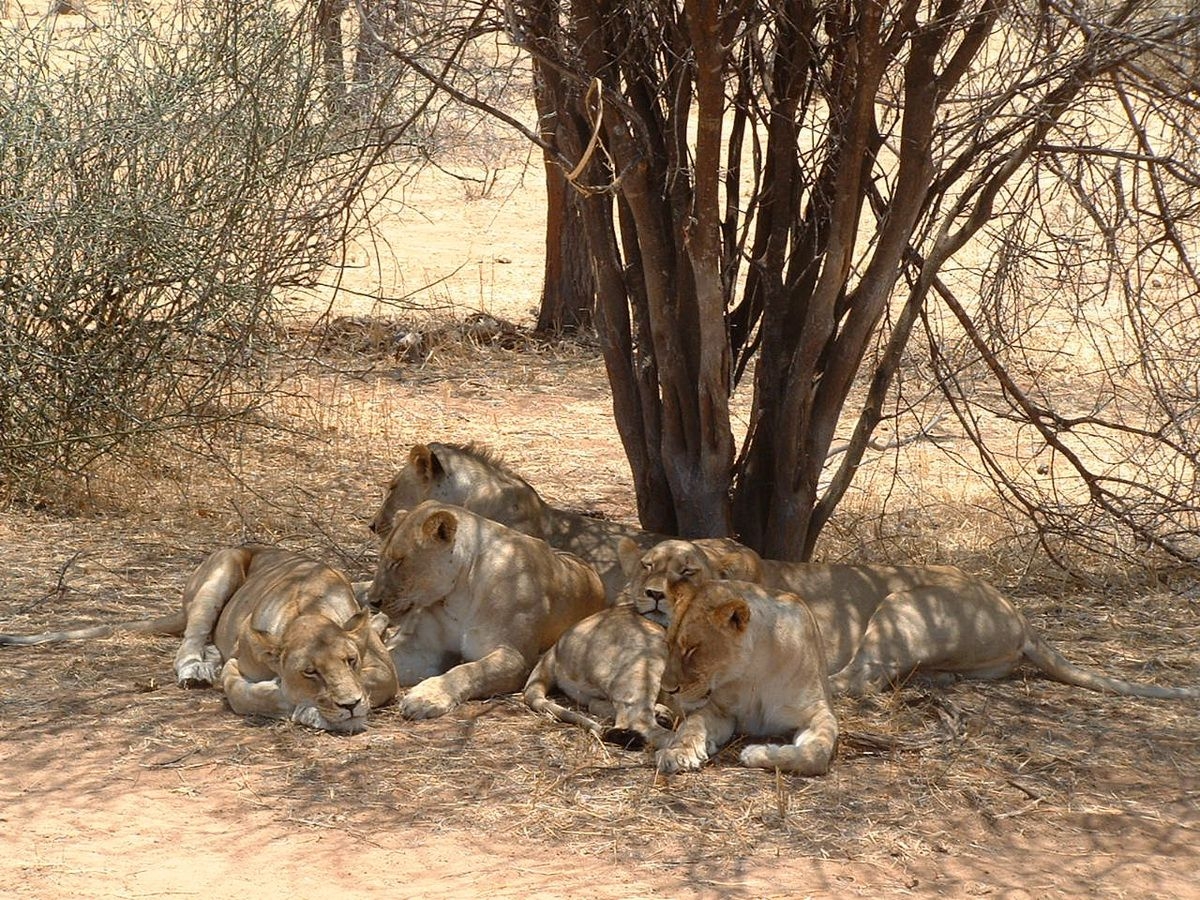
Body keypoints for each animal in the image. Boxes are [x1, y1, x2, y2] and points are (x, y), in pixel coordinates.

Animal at [0, 542, 403, 734]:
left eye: (350, 660)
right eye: (310, 672)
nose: (350, 705)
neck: (309, 610)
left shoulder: (384, 670)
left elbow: (372, 685)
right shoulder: (239, 664)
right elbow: (246, 695)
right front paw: (305, 707)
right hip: (220, 570)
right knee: (189, 642)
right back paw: (196, 670)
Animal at [657, 578, 835, 777]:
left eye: (692, 648)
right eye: (668, 644)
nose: (668, 688)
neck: (755, 670)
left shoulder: (816, 711)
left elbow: (817, 753)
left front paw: (756, 752)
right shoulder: (720, 709)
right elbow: (692, 725)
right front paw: (677, 752)